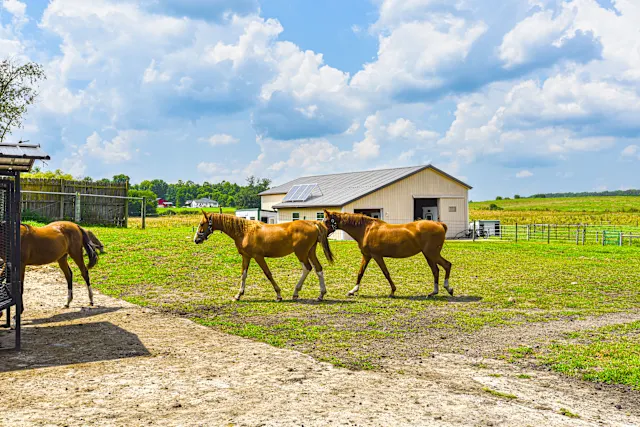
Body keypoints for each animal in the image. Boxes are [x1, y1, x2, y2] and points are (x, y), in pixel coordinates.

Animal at [194, 213, 336, 300]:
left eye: (201, 224)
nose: (196, 240)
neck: (245, 231)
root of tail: (313, 223)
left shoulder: (258, 257)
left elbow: (268, 273)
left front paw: (278, 294)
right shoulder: (246, 257)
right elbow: (243, 275)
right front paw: (238, 295)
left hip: (301, 253)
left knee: (307, 268)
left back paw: (296, 292)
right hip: (310, 252)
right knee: (318, 268)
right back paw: (321, 294)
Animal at [322, 210, 452, 298]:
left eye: (326, 220)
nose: (322, 231)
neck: (366, 229)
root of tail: (440, 224)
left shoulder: (376, 256)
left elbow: (386, 273)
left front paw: (392, 291)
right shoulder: (367, 255)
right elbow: (360, 272)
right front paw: (353, 290)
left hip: (432, 254)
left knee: (447, 265)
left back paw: (448, 288)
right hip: (428, 255)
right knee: (436, 270)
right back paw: (433, 292)